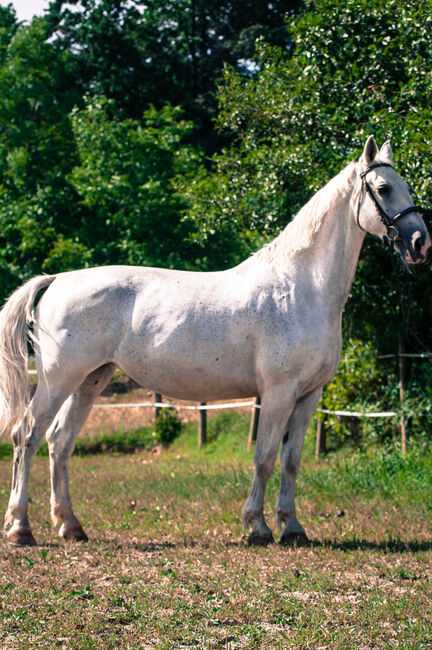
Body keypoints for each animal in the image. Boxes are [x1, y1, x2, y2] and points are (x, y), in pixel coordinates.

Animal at [0, 137, 428, 548]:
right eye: (384, 188)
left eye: (406, 185)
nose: (420, 243)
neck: (300, 287)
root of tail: (57, 279)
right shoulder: (278, 393)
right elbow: (264, 458)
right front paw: (257, 527)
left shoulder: (309, 395)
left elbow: (291, 461)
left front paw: (293, 528)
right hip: (58, 380)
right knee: (28, 436)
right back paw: (21, 529)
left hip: (91, 380)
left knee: (60, 442)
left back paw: (71, 526)